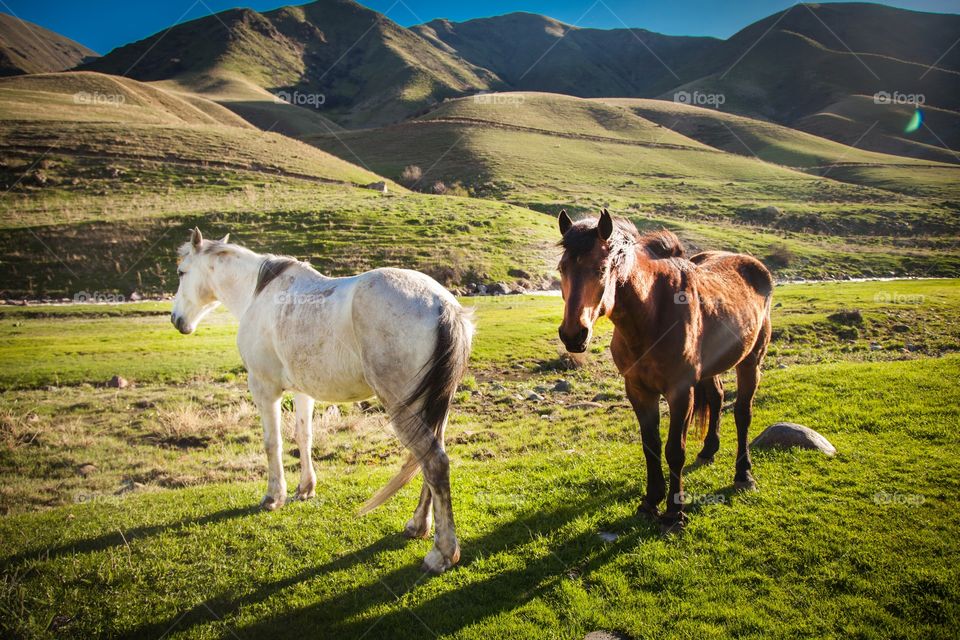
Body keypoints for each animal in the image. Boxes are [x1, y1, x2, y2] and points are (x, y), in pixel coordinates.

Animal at [172, 228, 476, 572]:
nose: (176, 319)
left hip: (405, 408)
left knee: (434, 462)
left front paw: (273, 497)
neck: (258, 294)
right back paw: (418, 525)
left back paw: (442, 553)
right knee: (427, 460)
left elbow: (272, 443)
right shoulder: (302, 391)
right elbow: (303, 436)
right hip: (432, 406)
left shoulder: (264, 388)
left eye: (181, 272)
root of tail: (442, 303)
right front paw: (305, 488)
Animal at [556, 209, 772, 528]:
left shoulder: (680, 392)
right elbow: (651, 445)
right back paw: (708, 450)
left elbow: (674, 450)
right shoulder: (638, 390)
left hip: (751, 362)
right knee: (718, 398)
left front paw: (673, 512)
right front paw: (650, 501)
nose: (573, 335)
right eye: (562, 268)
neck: (652, 314)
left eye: (601, 268)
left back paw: (743, 475)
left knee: (743, 414)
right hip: (711, 368)